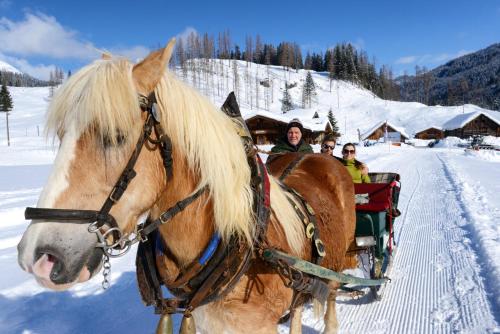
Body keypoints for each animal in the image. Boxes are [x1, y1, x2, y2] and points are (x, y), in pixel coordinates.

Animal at [17, 38, 358, 332]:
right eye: (62, 135)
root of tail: (320, 157)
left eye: (116, 135)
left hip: (335, 268)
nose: (38, 258)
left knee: (330, 301)